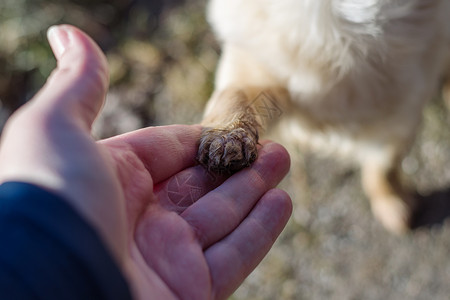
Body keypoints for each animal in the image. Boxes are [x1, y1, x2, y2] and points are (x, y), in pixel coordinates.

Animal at [198, 0, 450, 233]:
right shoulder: (254, 70)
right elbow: (234, 98)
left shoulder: (400, 117)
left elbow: (383, 167)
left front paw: (392, 201)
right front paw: (228, 138)